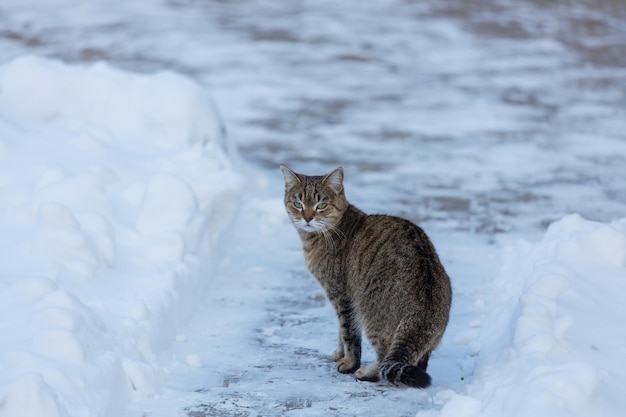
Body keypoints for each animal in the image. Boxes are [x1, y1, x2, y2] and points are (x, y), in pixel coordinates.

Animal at [280, 166, 450, 386]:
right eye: (298, 203)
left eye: (321, 205)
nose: (307, 218)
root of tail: (422, 313)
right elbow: (340, 332)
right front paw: (340, 354)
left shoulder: (342, 296)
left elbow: (348, 333)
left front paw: (349, 363)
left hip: (371, 315)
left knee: (385, 359)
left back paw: (367, 372)